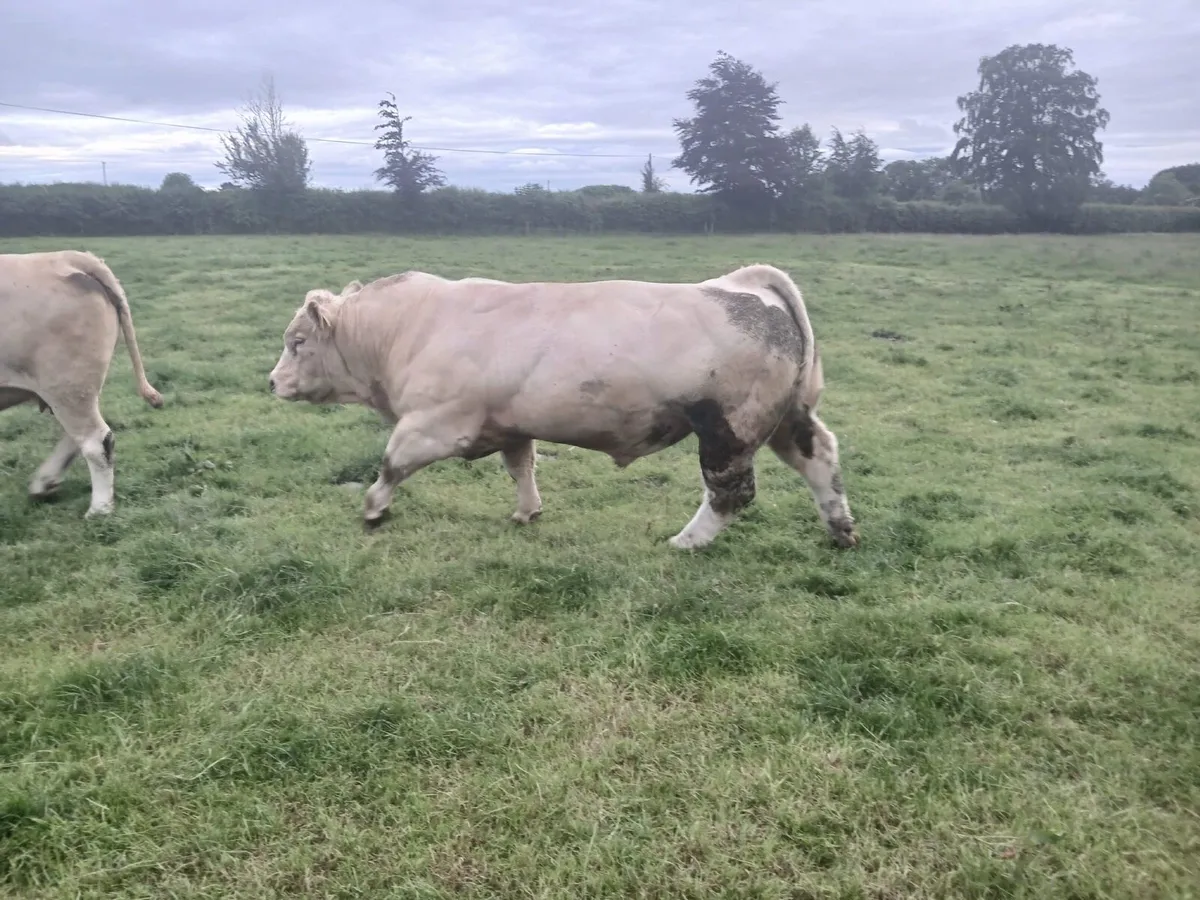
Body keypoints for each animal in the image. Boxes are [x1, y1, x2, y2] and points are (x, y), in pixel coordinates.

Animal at [0, 250, 163, 517]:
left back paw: (99, 509)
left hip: (65, 384)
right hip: (73, 388)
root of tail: (66, 257)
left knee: (95, 442)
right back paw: (45, 482)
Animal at [267, 264, 857, 550]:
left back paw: (687, 541)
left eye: (296, 341)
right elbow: (521, 467)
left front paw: (373, 509)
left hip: (728, 428)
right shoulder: (509, 424)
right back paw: (841, 528)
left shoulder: (434, 423)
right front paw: (528, 511)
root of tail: (743, 284)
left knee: (731, 492)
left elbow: (392, 464)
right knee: (820, 459)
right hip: (786, 418)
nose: (273, 382)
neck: (407, 328)